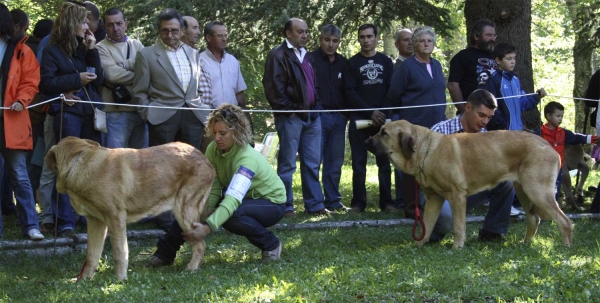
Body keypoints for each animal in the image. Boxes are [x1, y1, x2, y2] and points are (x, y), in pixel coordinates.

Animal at [46, 138, 216, 280]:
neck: (79, 163)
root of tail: (204, 158)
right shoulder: (95, 222)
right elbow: (91, 255)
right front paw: (84, 280)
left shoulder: (115, 218)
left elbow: (119, 253)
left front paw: (120, 279)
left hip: (184, 212)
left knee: (200, 245)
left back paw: (191, 269)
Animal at [366, 120, 572, 249]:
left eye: (384, 133)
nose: (366, 140)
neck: (425, 150)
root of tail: (551, 148)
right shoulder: (434, 199)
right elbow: (427, 224)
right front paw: (419, 244)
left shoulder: (456, 196)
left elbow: (458, 226)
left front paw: (457, 247)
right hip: (523, 191)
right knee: (534, 219)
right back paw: (525, 244)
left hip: (537, 191)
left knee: (564, 220)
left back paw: (565, 247)